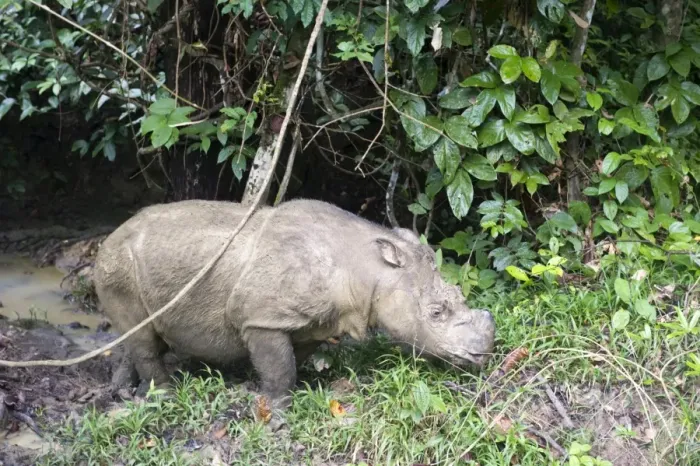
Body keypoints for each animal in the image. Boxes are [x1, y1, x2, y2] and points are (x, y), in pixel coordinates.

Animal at [93, 199, 496, 408]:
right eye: (436, 313)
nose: (483, 355)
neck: (367, 268)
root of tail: (106, 239)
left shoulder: (312, 321)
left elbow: (292, 357)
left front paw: (298, 388)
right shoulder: (260, 316)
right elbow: (279, 364)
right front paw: (277, 407)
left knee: (137, 333)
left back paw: (123, 390)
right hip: (118, 267)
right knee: (141, 334)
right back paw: (165, 394)